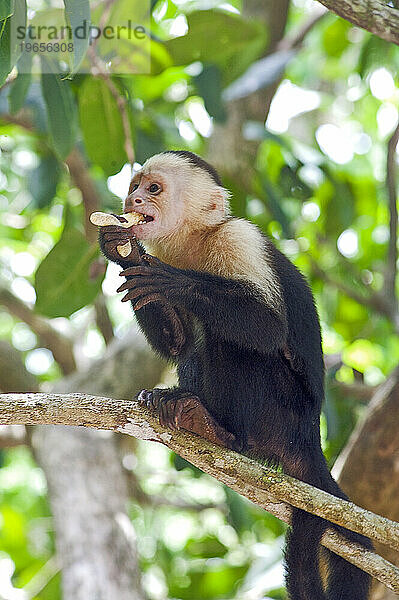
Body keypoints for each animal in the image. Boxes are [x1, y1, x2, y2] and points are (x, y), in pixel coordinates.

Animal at [98, 151, 374, 600]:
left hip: (281, 413)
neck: (195, 243)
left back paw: (222, 432)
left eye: (153, 189)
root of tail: (307, 434)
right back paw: (180, 404)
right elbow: (176, 342)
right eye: (134, 187)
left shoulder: (238, 239)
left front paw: (173, 282)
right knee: (196, 345)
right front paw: (121, 250)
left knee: (228, 340)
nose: (133, 201)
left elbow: (266, 328)